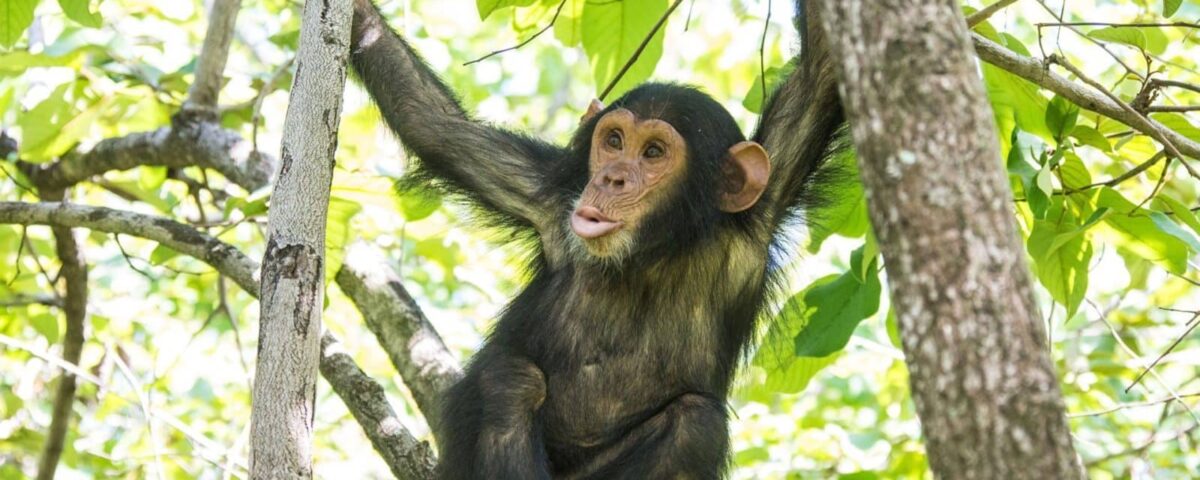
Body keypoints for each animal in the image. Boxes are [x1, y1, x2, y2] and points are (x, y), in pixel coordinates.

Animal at [349, 0, 843, 478]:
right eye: (614, 140)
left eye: (653, 153)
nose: (611, 177)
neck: (652, 252)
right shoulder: (547, 195)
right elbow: (435, 125)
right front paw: (358, 18)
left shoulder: (762, 212)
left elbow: (819, 76)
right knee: (510, 380)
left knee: (696, 425)